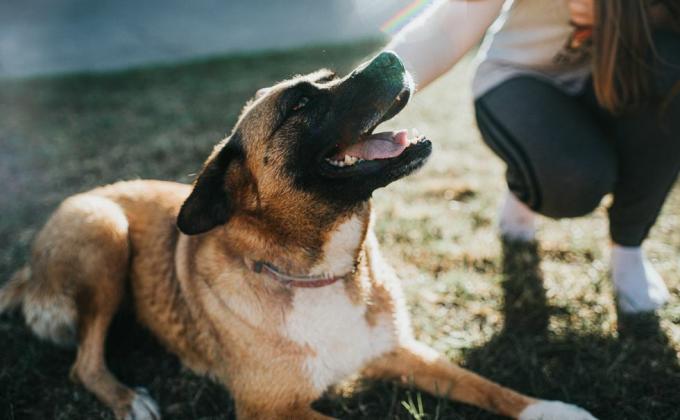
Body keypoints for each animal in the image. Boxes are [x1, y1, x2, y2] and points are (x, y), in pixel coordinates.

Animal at [0, 50, 596, 418]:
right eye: (301, 104)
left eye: (329, 77)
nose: (390, 56)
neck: (321, 271)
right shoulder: (270, 410)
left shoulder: (398, 351)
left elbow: (485, 386)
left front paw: (552, 408)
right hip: (106, 229)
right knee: (83, 362)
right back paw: (127, 398)